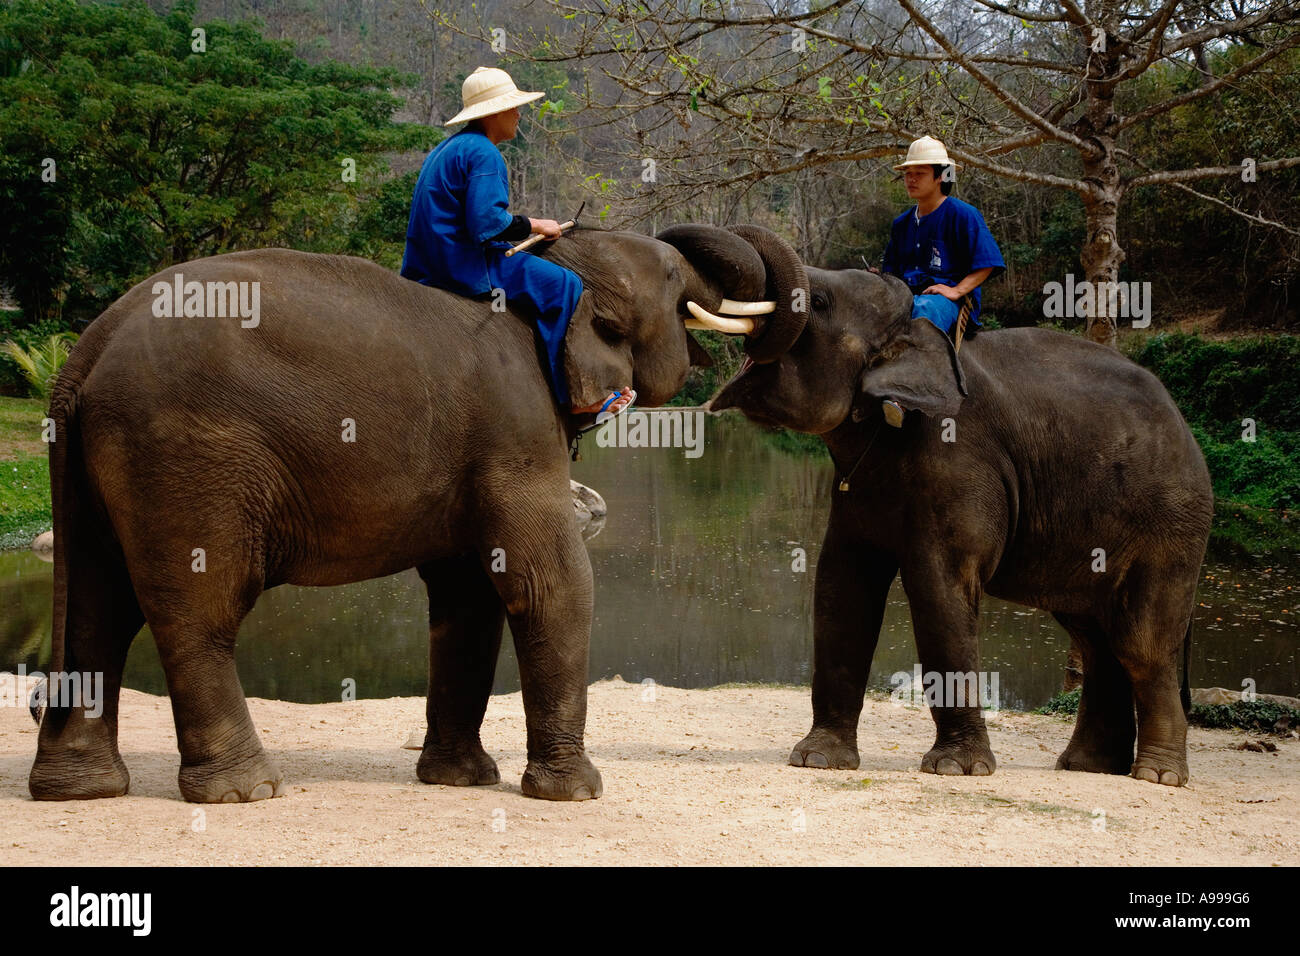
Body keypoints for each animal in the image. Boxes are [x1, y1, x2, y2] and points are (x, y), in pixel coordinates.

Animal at [25, 227, 806, 806]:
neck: (545, 277)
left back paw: (81, 790)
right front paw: (576, 794)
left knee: (99, 601)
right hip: (189, 459)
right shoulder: (516, 430)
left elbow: (469, 593)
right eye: (674, 278)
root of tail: (83, 354)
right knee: (198, 606)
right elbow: (550, 583)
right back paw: (245, 792)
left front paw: (462, 781)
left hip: (110, 467)